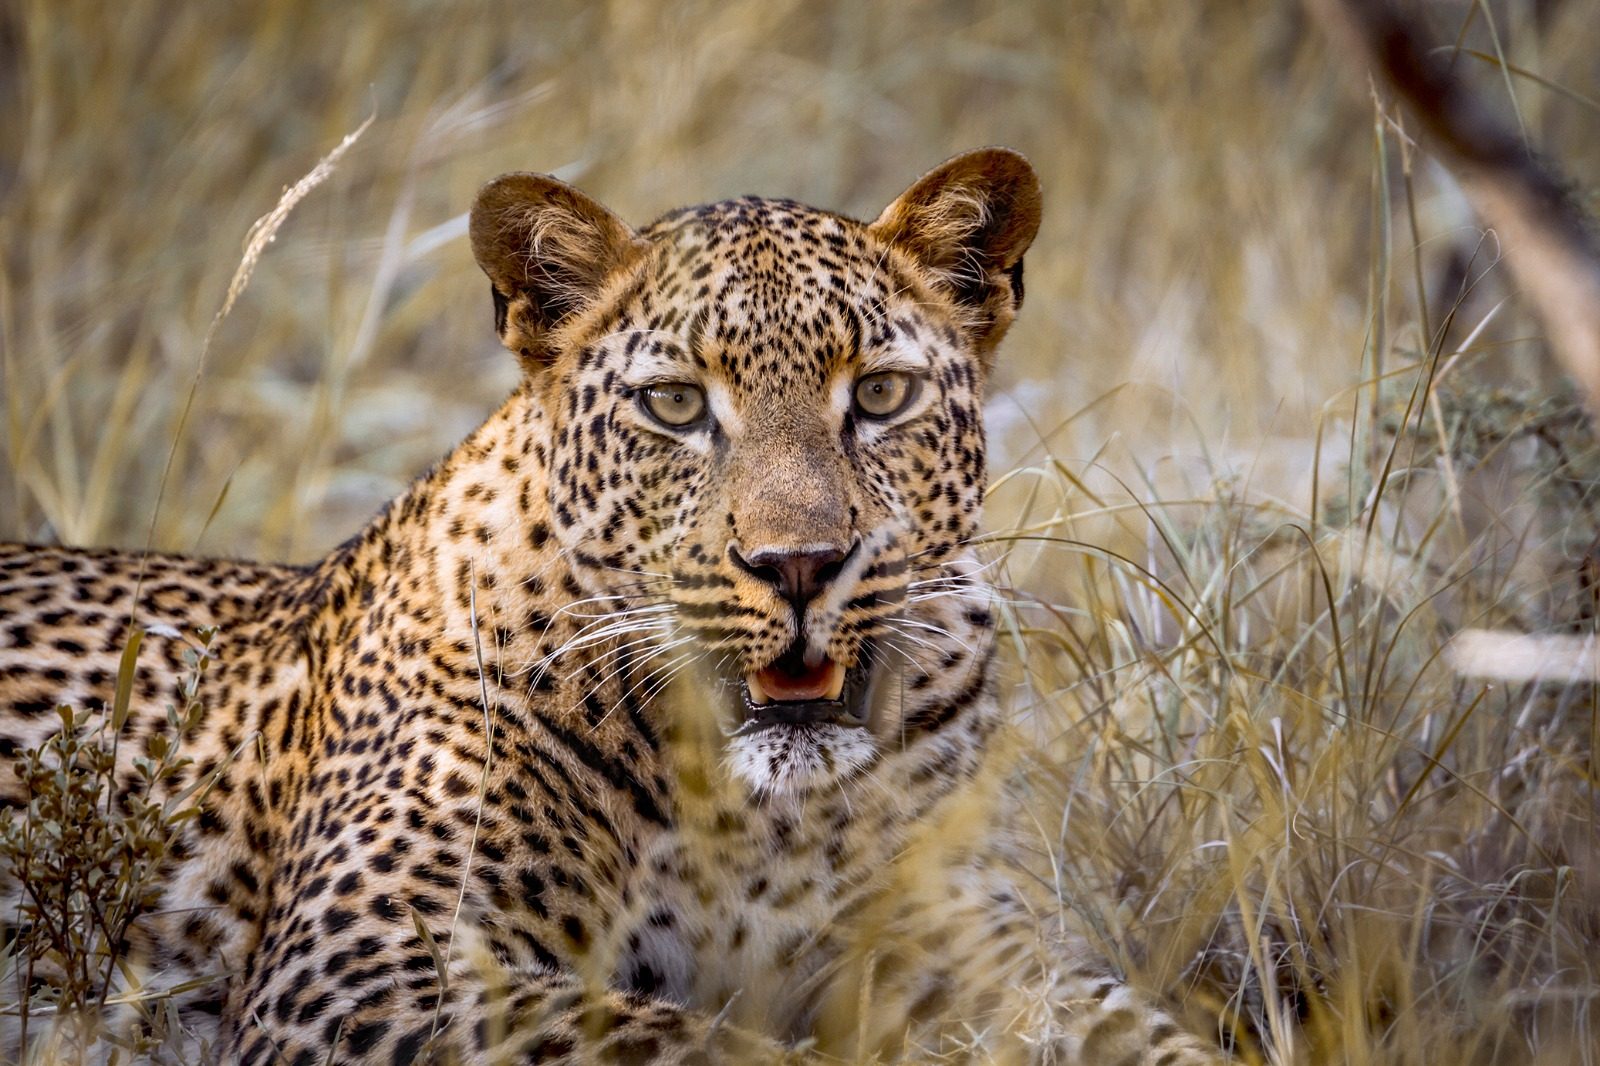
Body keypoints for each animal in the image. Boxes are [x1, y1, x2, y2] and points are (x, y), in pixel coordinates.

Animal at [1, 148, 1224, 1065]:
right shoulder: (362, 971)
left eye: (879, 395)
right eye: (676, 405)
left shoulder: (967, 944)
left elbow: (1139, 1031)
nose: (799, 565)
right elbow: (686, 1041)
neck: (754, 822)